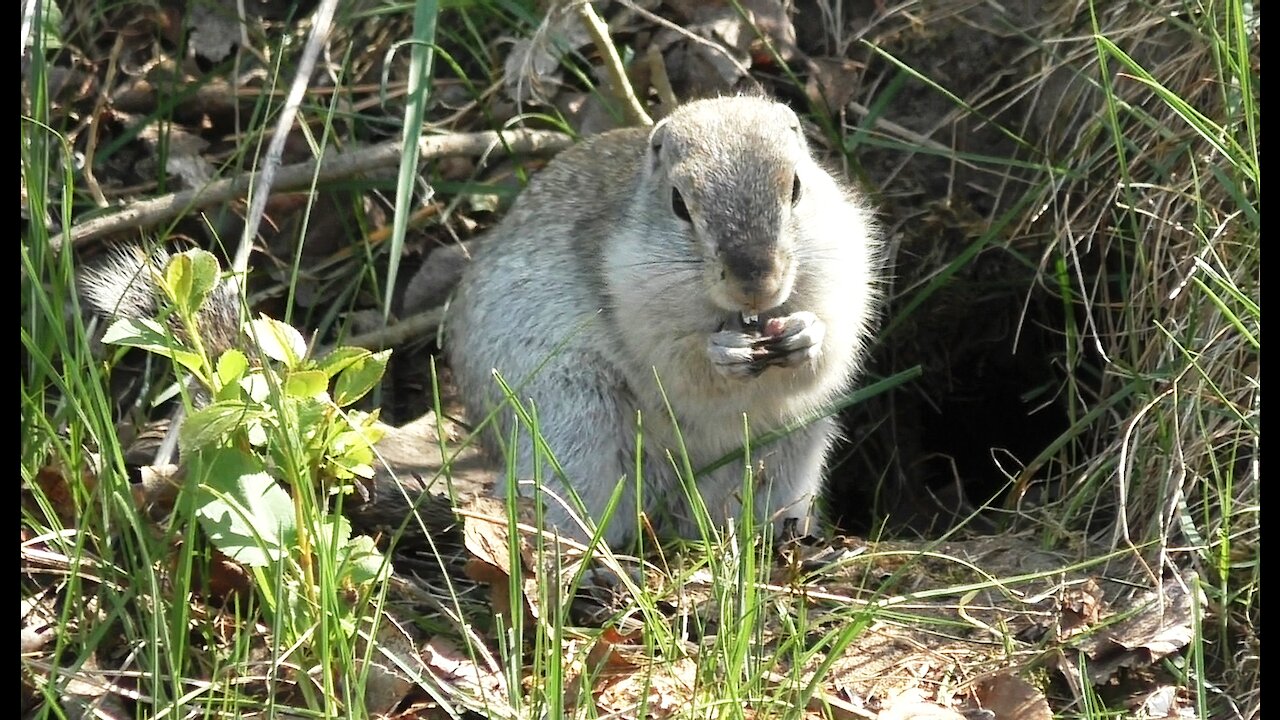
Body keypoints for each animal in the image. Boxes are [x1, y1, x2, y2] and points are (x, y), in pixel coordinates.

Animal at [440, 94, 880, 543]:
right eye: (678, 203)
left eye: (796, 187)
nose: (758, 285)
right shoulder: (639, 311)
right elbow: (682, 370)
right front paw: (723, 354)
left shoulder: (844, 276)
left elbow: (829, 353)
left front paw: (806, 334)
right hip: (575, 425)